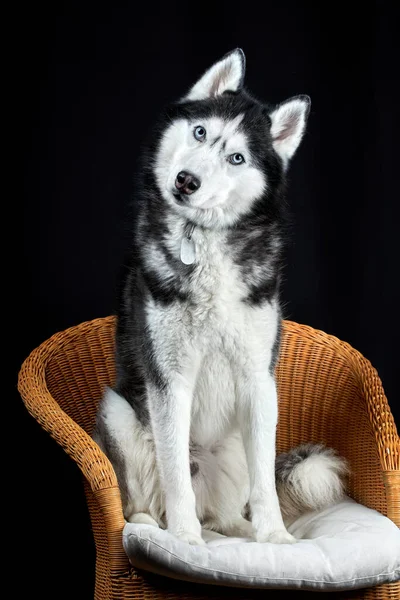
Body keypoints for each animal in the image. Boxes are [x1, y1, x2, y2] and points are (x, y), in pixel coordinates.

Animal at [94, 49, 346, 548]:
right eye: (200, 132)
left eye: (236, 158)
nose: (186, 181)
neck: (204, 242)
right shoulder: (169, 381)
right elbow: (174, 476)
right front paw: (186, 541)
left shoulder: (258, 379)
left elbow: (266, 482)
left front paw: (276, 538)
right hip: (118, 413)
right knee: (146, 501)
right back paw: (157, 525)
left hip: (234, 449)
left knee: (228, 510)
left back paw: (240, 527)